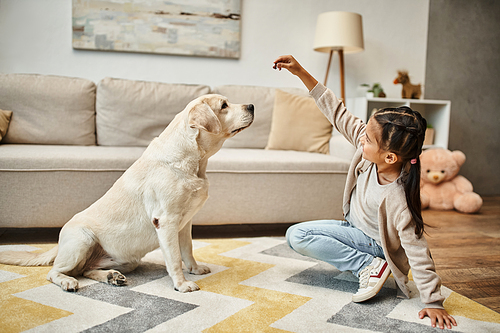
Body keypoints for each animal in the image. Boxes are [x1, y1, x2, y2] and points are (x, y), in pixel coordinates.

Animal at [0, 92, 254, 290]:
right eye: (224, 105)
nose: (251, 105)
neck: (192, 162)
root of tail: (59, 244)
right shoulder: (167, 221)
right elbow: (174, 258)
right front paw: (181, 285)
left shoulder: (186, 223)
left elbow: (187, 251)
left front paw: (195, 269)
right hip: (82, 240)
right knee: (56, 271)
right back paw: (67, 282)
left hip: (126, 259)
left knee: (85, 270)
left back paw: (111, 277)